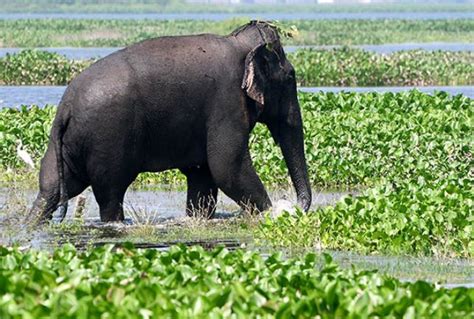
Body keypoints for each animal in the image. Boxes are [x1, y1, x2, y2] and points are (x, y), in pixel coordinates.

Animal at [28, 20, 312, 225]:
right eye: (291, 76)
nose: (296, 206)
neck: (238, 42)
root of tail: (65, 108)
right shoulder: (227, 101)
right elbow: (227, 166)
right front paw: (274, 214)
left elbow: (203, 175)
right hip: (107, 137)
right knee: (110, 193)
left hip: (64, 143)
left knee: (52, 188)